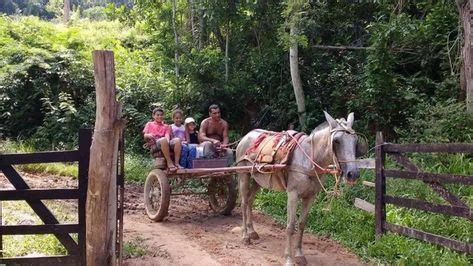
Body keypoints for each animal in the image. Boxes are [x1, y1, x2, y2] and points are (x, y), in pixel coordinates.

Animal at [235, 111, 362, 264]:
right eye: (336, 141)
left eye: (355, 140)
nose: (353, 174)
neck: (308, 160)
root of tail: (246, 136)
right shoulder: (293, 194)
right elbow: (290, 226)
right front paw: (289, 259)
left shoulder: (310, 196)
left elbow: (301, 224)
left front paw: (299, 255)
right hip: (244, 175)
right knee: (243, 203)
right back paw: (245, 236)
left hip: (258, 180)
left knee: (250, 201)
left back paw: (252, 231)